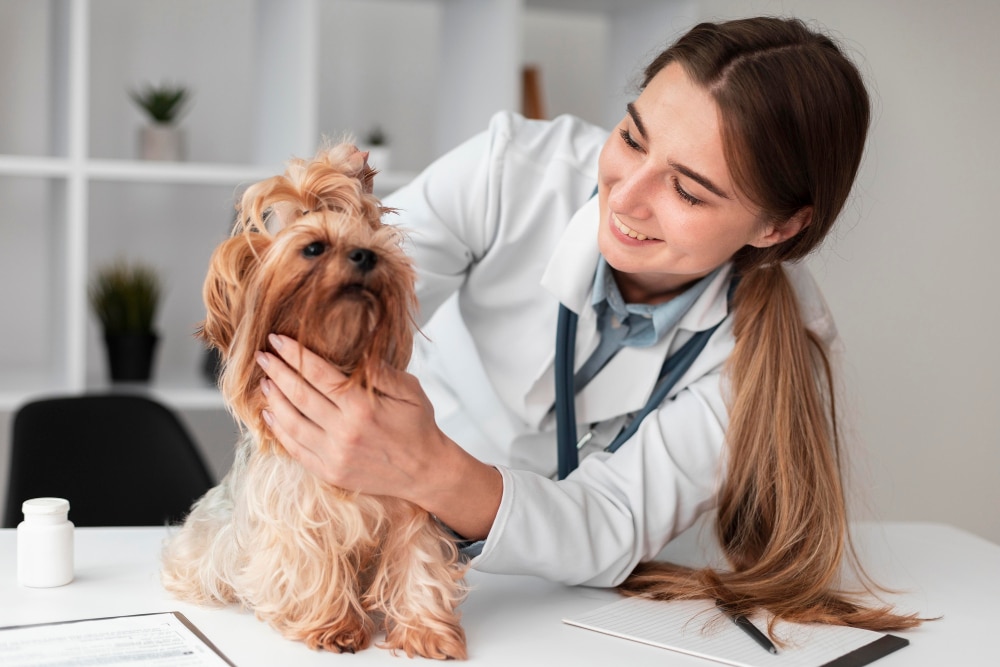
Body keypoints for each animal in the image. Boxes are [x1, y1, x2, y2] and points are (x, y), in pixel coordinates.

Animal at [162, 144, 470, 660]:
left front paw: (427, 631)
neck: (339, 356)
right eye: (313, 248)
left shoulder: (413, 490)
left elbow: (419, 560)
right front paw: (335, 627)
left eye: (373, 241)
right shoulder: (296, 511)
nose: (367, 256)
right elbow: (311, 560)